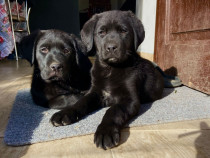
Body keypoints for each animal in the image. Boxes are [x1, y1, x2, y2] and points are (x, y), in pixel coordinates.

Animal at [50, 10, 164, 149]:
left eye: (123, 31)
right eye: (101, 32)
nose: (111, 47)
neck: (110, 69)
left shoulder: (130, 99)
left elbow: (113, 110)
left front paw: (105, 132)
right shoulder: (95, 92)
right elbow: (81, 102)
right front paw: (64, 113)